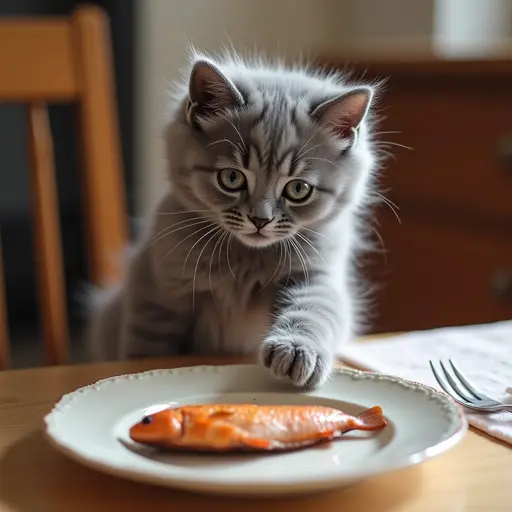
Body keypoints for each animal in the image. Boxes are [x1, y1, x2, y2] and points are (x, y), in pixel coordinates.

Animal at [87, 51, 380, 388]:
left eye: (298, 189)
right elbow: (148, 347)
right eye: (231, 178)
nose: (260, 219)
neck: (246, 259)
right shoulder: (156, 293)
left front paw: (295, 350)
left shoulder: (316, 274)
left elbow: (315, 309)